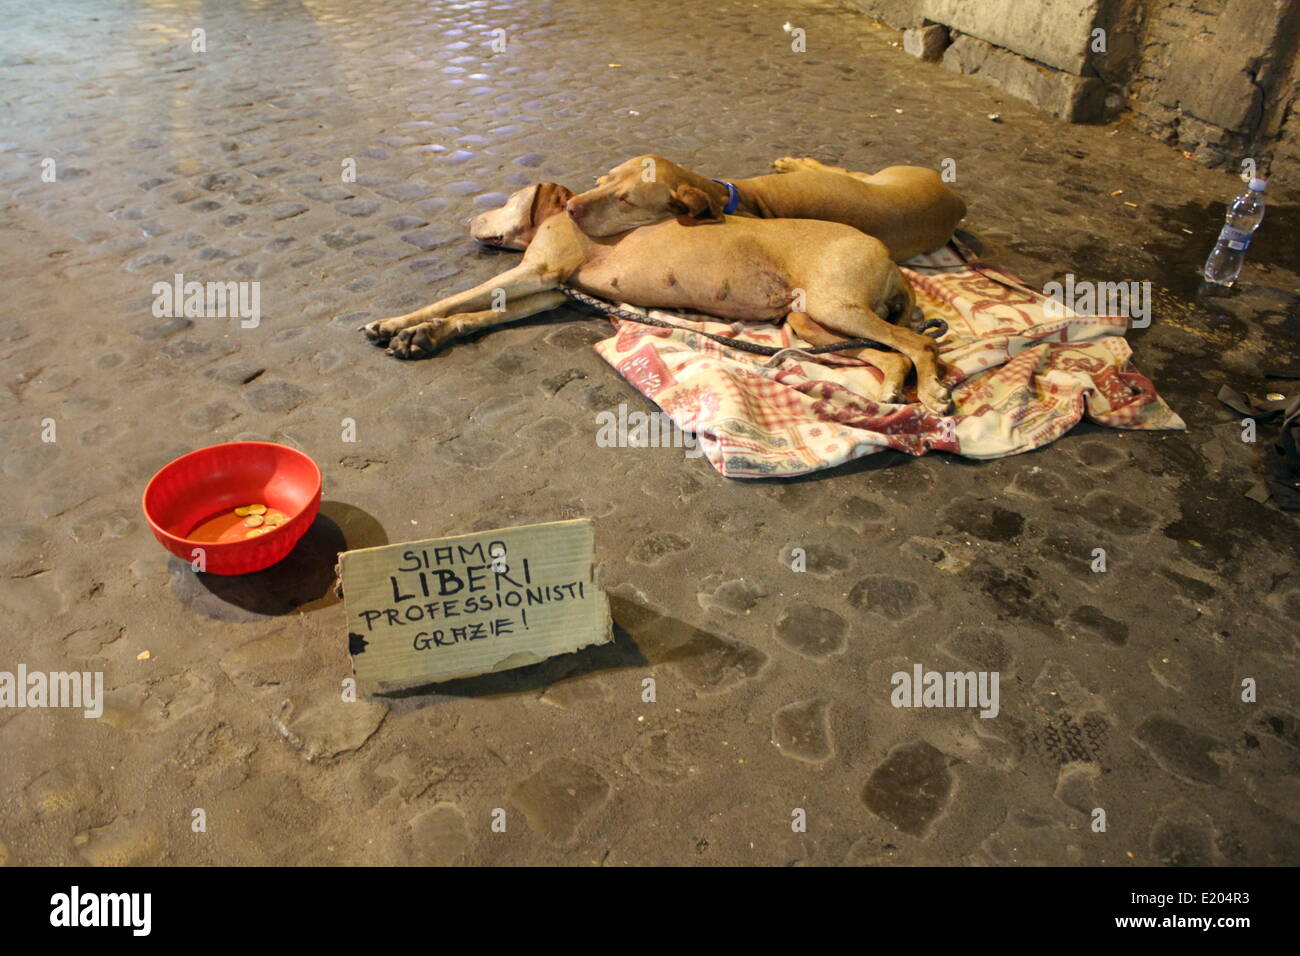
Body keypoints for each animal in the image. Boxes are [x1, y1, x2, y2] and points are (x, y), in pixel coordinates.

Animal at [371, 187, 951, 411]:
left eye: (509, 198)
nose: (469, 216)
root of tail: (890, 258)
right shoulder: (550, 291)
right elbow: (471, 314)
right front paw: (422, 335)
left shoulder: (538, 271)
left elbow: (452, 298)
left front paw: (395, 321)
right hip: (811, 323)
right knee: (892, 351)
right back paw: (893, 386)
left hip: (834, 307)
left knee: (918, 344)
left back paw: (932, 392)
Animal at [569, 155, 967, 264]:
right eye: (603, 179)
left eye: (626, 200)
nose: (570, 206)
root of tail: (954, 199)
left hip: (882, 176)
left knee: (839, 170)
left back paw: (796, 162)